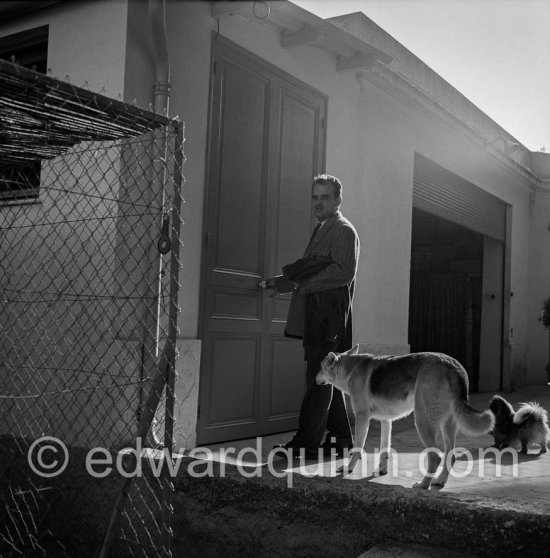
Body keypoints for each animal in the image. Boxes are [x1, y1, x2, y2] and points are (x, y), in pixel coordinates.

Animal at [316, 348, 498, 492]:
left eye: (320, 367)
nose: (314, 378)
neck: (350, 369)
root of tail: (453, 366)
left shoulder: (362, 417)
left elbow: (357, 448)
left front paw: (349, 468)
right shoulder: (386, 421)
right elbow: (384, 449)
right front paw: (382, 470)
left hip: (422, 422)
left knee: (435, 457)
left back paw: (423, 485)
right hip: (447, 426)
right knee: (450, 455)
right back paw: (439, 481)